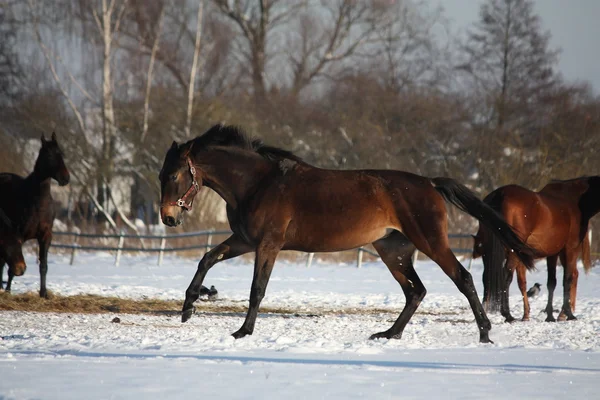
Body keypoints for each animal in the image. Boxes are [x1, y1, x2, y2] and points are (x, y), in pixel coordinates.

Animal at [0, 134, 70, 296]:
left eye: (61, 154)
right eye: (49, 155)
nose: (66, 178)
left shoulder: (45, 236)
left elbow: (43, 265)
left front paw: (43, 293)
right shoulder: (18, 235)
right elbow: (12, 264)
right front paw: (7, 290)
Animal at [158, 123, 536, 342]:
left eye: (175, 175)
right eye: (162, 175)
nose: (168, 218)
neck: (258, 183)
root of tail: (429, 183)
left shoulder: (268, 244)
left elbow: (257, 289)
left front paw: (242, 332)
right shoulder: (244, 240)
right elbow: (207, 259)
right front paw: (188, 307)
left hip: (429, 242)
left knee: (463, 279)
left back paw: (485, 333)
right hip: (393, 251)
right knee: (416, 291)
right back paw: (388, 334)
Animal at [474, 177, 600, 322]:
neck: (575, 200)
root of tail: (499, 195)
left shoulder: (552, 253)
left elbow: (551, 282)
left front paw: (550, 315)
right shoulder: (570, 249)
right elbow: (567, 279)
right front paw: (569, 314)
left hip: (489, 252)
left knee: (486, 277)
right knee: (505, 276)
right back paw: (508, 314)